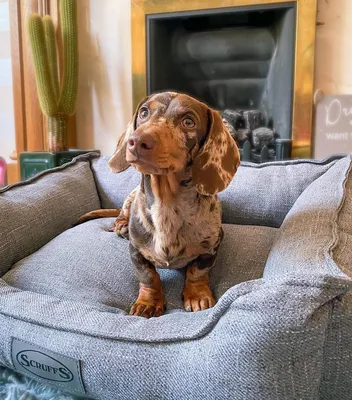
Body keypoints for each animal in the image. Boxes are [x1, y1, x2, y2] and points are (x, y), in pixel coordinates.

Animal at [78, 92, 241, 318]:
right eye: (144, 112)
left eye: (188, 121)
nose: (136, 141)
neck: (167, 203)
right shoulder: (135, 251)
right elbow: (148, 276)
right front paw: (149, 302)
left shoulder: (212, 247)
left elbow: (197, 271)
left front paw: (197, 295)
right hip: (130, 197)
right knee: (121, 214)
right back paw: (121, 225)